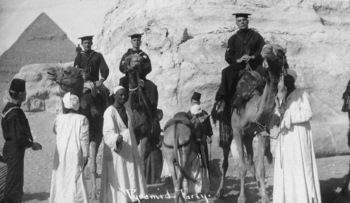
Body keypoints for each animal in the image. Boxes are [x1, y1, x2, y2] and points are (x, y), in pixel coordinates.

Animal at [213, 43, 288, 202]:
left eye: (280, 51)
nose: (265, 49)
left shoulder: (261, 131)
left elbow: (261, 168)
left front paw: (265, 197)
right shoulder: (237, 132)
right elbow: (242, 168)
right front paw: (242, 198)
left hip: (248, 135)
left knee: (251, 159)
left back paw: (258, 188)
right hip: (228, 130)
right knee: (225, 162)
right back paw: (219, 192)